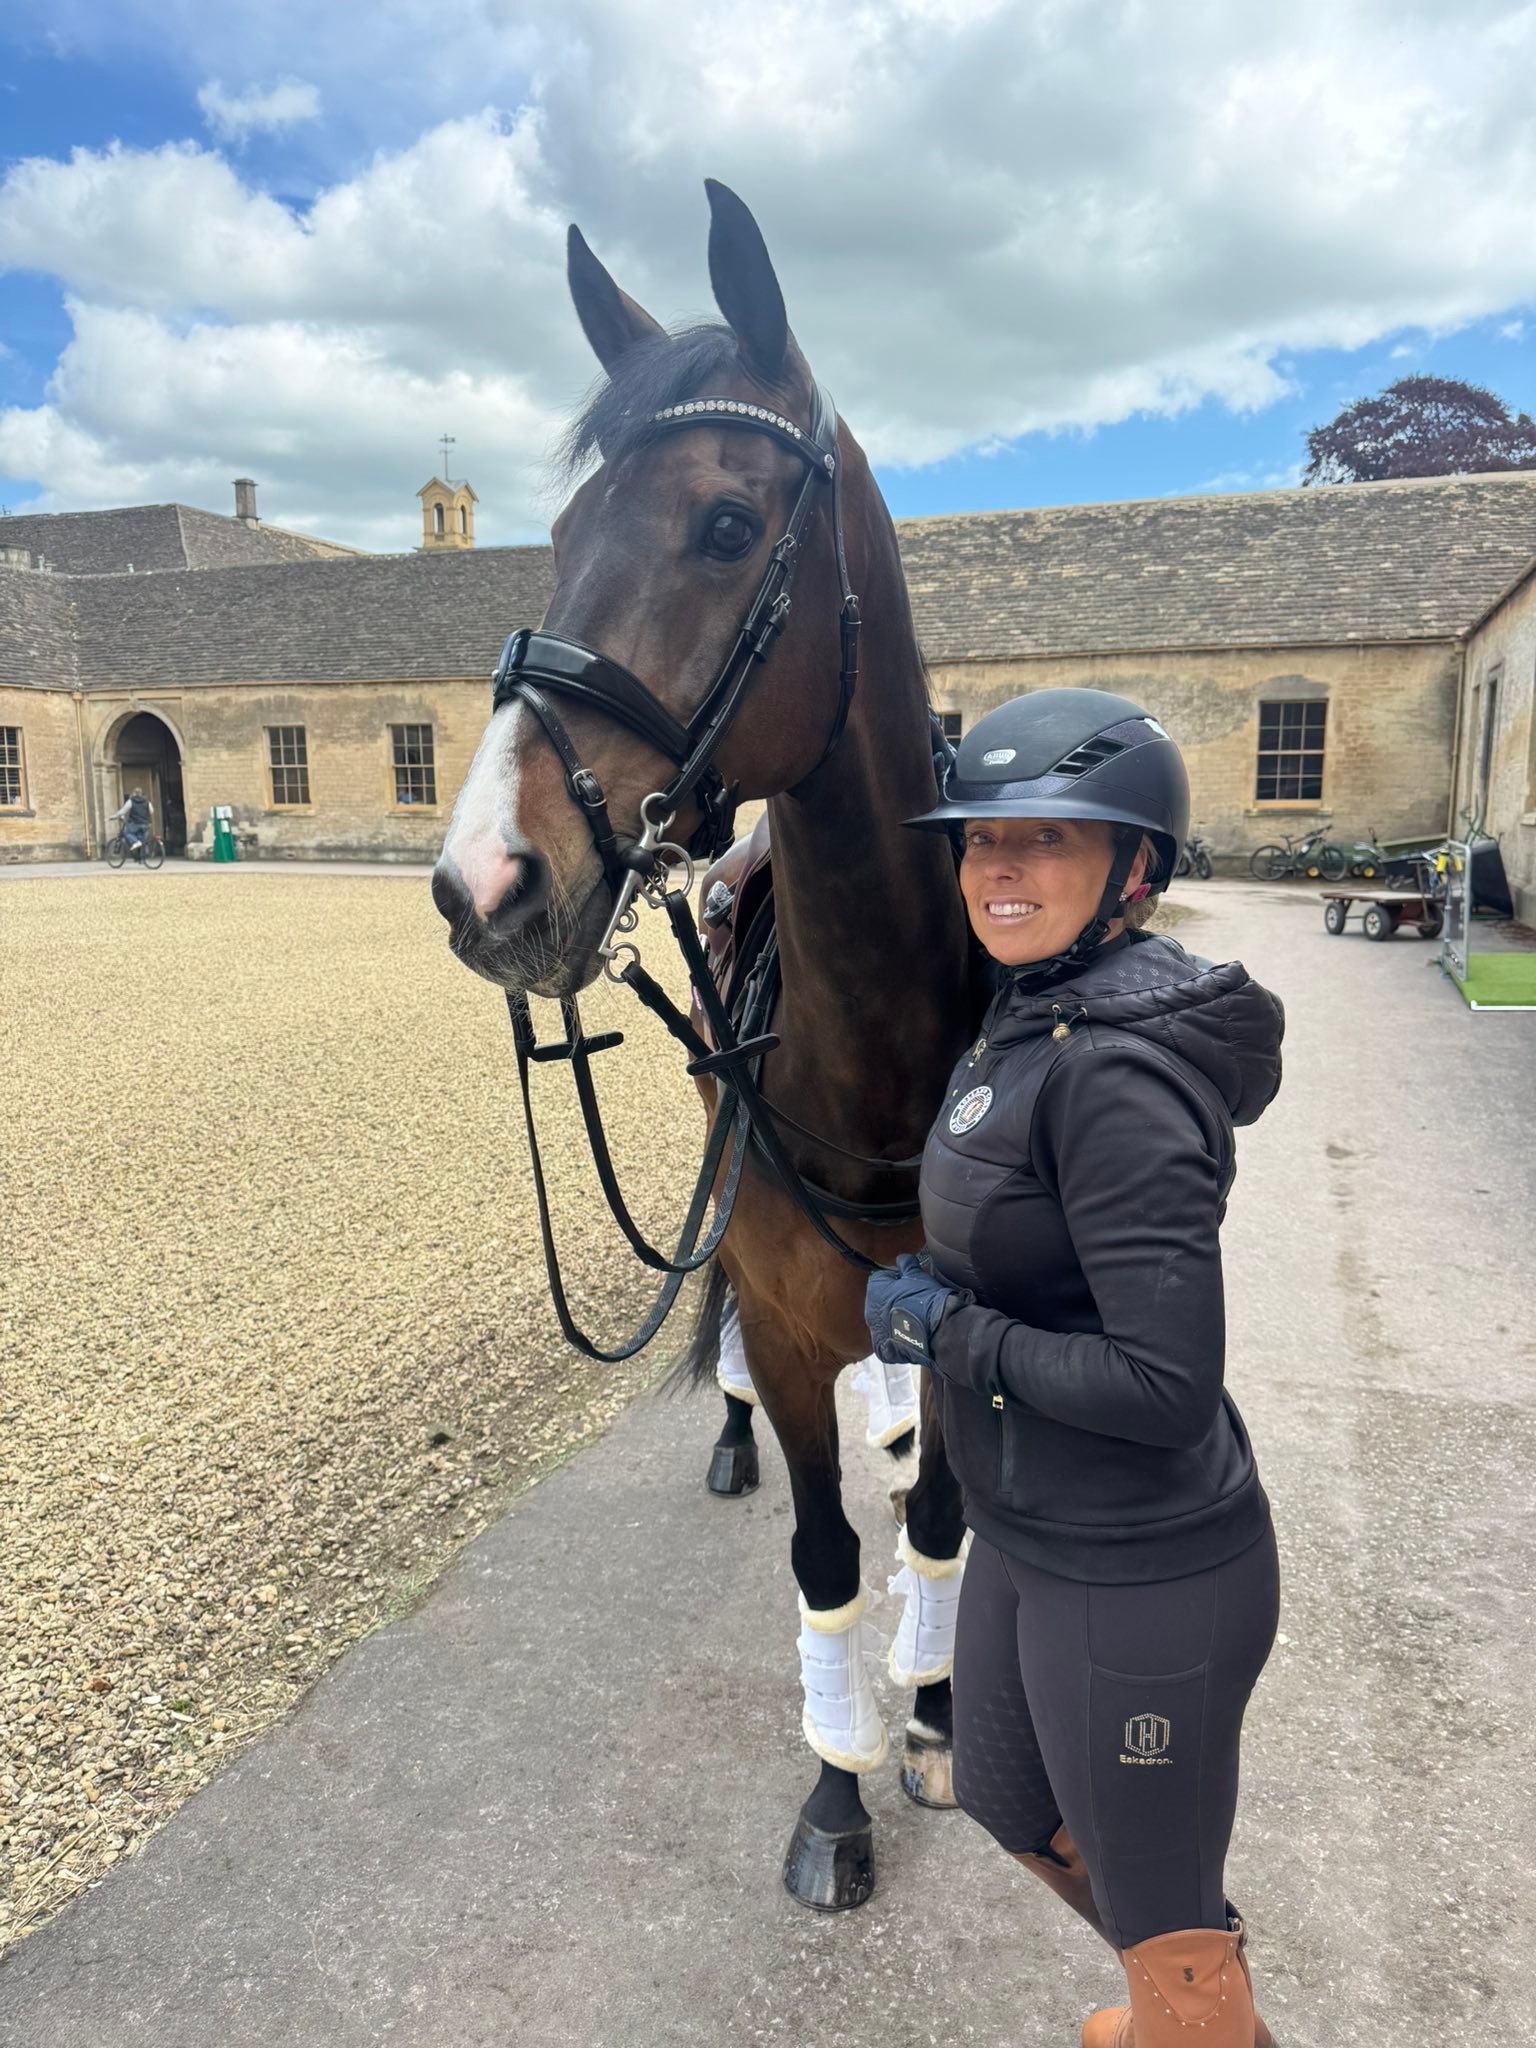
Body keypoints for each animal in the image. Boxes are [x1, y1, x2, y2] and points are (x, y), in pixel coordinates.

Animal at [432, 180, 976, 1910]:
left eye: (728, 527)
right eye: (559, 539)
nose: (481, 879)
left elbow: (937, 1526)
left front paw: (933, 1711)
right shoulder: (796, 1322)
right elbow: (824, 1555)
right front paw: (836, 1793)